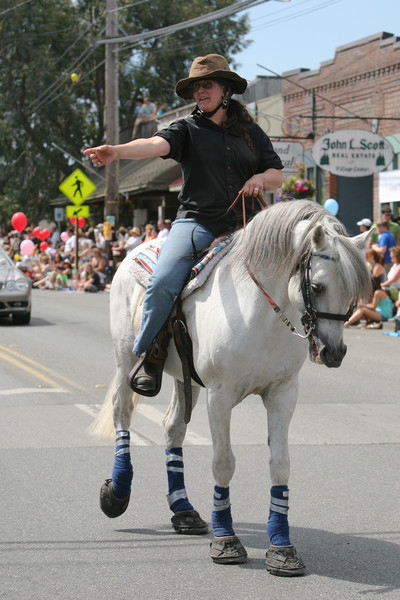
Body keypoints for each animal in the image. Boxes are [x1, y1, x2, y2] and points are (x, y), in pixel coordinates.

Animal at [91, 199, 372, 576]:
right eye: (318, 286)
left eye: (352, 293)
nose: (334, 352)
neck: (262, 315)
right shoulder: (220, 396)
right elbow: (223, 463)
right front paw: (226, 540)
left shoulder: (282, 393)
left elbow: (280, 463)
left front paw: (282, 547)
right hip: (126, 362)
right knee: (122, 415)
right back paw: (117, 494)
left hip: (184, 378)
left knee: (172, 429)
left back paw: (183, 511)